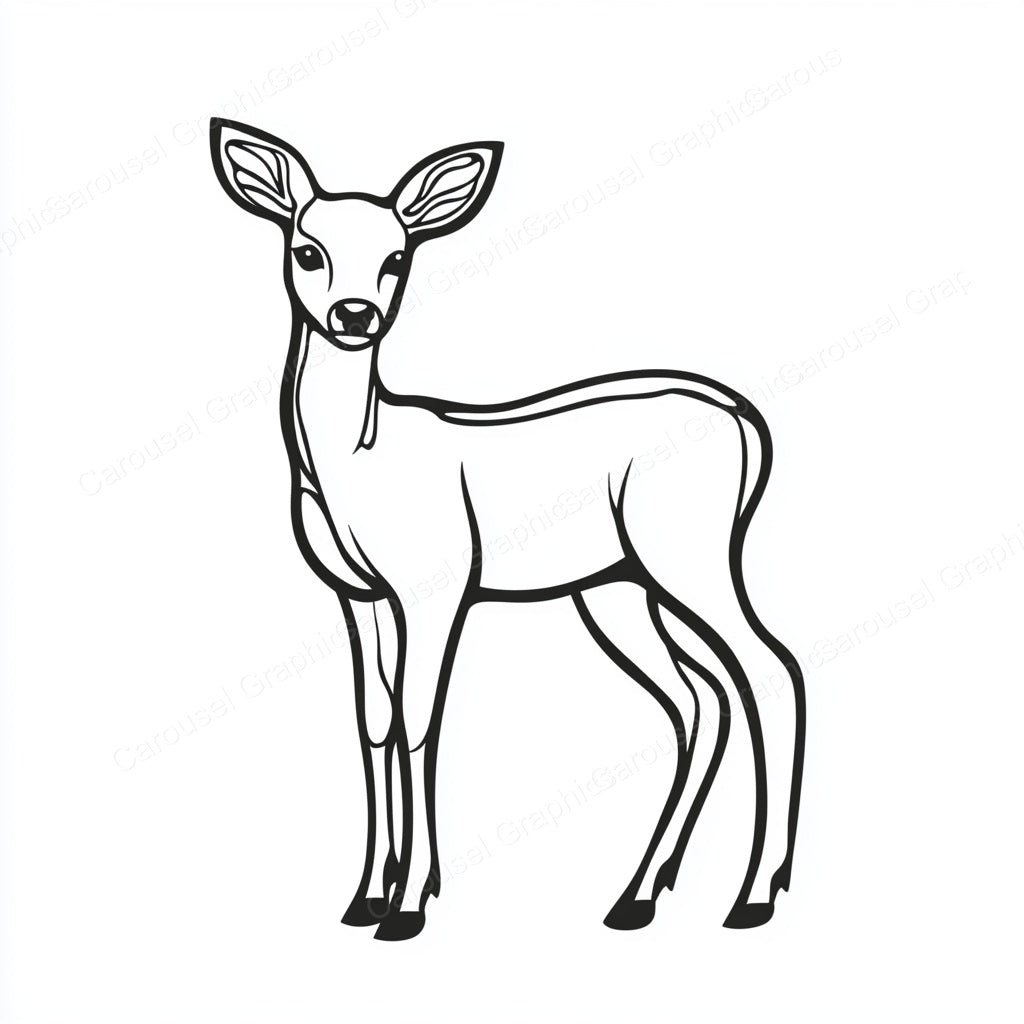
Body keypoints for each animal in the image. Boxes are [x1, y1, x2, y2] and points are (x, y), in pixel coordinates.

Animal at [210, 119, 806, 942]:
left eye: (398, 257)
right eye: (307, 249)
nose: (355, 316)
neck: (357, 458)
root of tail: (748, 423)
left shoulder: (435, 585)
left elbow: (420, 721)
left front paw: (409, 906)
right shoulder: (358, 595)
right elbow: (373, 723)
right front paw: (364, 898)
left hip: (690, 555)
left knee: (770, 670)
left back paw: (751, 898)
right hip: (621, 587)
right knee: (700, 698)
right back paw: (637, 897)